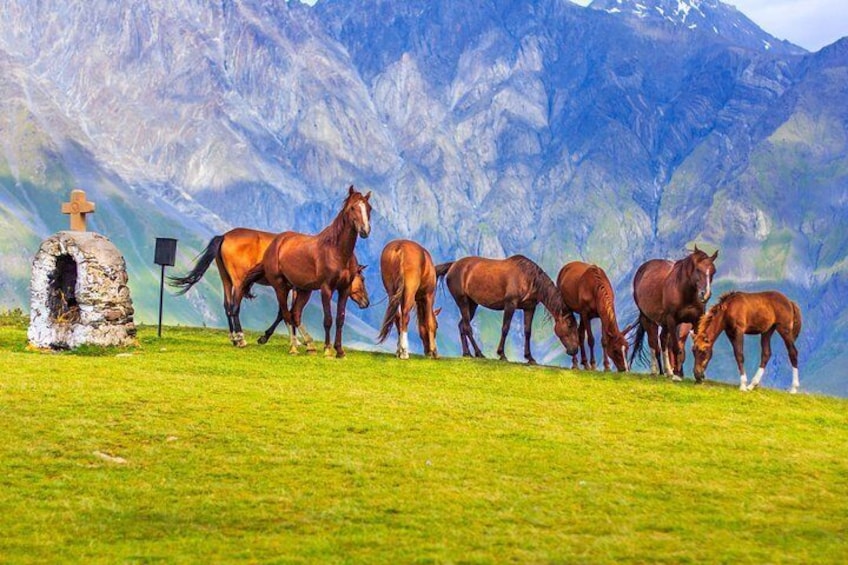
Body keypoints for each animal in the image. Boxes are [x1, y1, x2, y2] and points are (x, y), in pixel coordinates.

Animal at [243, 185, 372, 358]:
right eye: (352, 207)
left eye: (369, 208)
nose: (365, 230)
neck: (338, 252)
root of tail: (275, 243)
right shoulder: (326, 289)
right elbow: (328, 319)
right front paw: (327, 349)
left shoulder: (344, 289)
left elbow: (340, 319)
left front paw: (340, 351)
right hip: (281, 287)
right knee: (287, 314)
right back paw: (293, 347)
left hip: (304, 290)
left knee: (295, 314)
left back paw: (309, 345)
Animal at [435, 255, 579, 364]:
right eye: (569, 325)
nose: (574, 350)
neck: (527, 277)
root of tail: (454, 265)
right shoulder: (510, 304)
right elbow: (505, 328)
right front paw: (502, 354)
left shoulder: (529, 308)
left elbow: (527, 332)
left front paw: (530, 357)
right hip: (463, 301)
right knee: (467, 327)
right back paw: (479, 353)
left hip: (472, 304)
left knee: (462, 326)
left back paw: (467, 353)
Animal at [630, 246, 719, 381]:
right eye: (698, 270)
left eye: (713, 271)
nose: (706, 294)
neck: (685, 293)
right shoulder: (672, 320)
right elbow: (676, 348)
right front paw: (677, 375)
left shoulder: (696, 321)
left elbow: (697, 345)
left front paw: (698, 375)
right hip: (649, 319)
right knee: (653, 342)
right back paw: (655, 371)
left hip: (664, 322)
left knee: (662, 340)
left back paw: (667, 371)